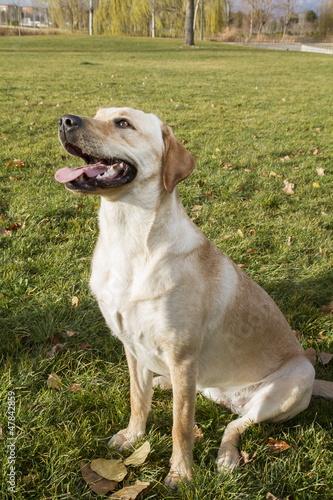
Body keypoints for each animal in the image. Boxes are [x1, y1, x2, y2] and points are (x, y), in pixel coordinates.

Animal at [54, 108, 332, 488]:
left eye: (123, 123)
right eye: (97, 114)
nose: (65, 120)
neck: (126, 237)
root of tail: (230, 398)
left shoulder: (183, 357)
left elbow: (181, 426)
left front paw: (181, 472)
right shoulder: (132, 348)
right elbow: (137, 400)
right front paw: (133, 437)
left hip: (292, 380)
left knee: (235, 425)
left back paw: (227, 456)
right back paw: (164, 386)